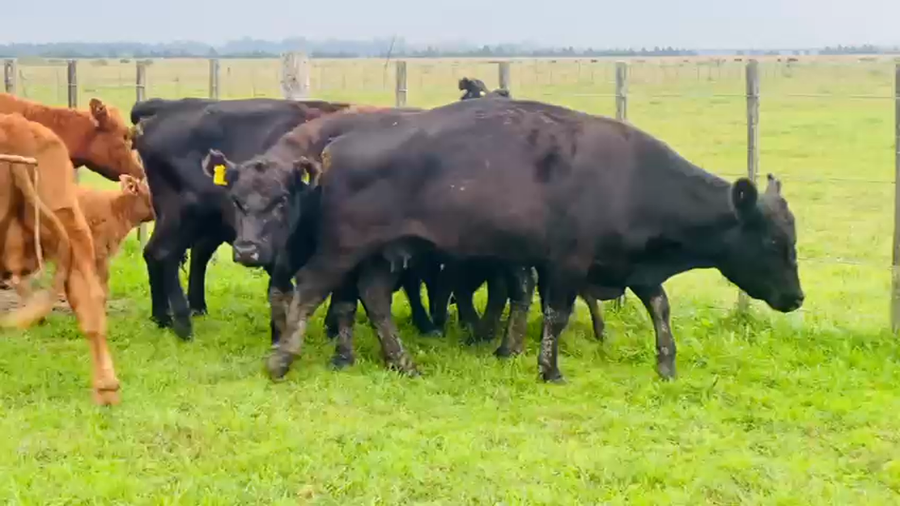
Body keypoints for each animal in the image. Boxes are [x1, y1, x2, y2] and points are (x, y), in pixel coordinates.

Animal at [130, 97, 353, 340]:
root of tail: (171, 106)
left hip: (206, 224)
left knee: (179, 253)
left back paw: (177, 313)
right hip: (180, 216)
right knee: (164, 254)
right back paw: (179, 324)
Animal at [253, 97, 802, 383]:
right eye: (773, 244)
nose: (796, 297)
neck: (630, 178)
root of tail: (337, 144)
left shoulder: (634, 265)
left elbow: (659, 305)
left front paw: (666, 363)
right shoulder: (565, 264)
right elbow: (557, 315)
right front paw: (548, 368)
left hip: (384, 254)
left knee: (373, 298)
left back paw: (402, 361)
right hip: (343, 248)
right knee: (310, 289)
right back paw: (281, 359)